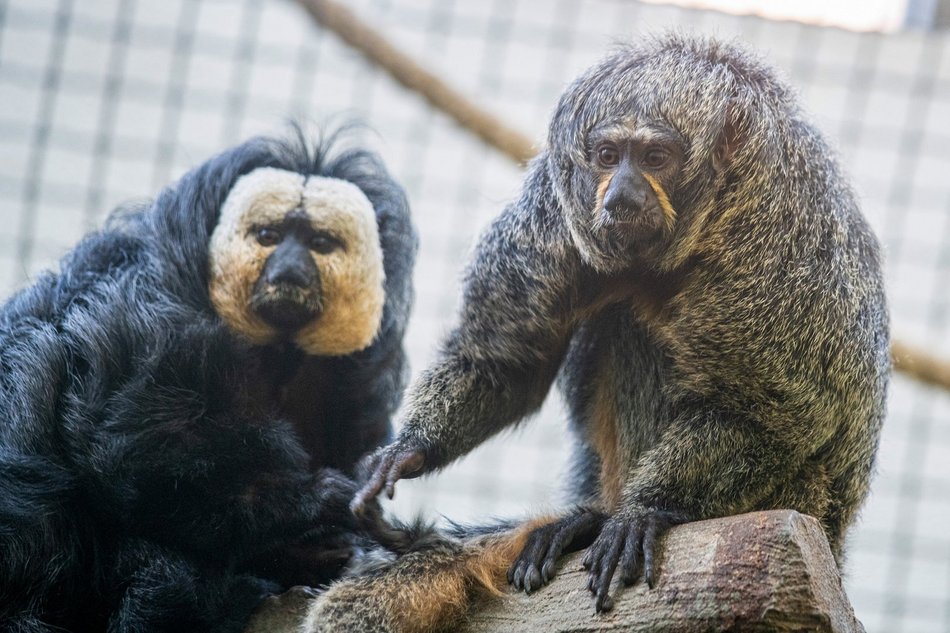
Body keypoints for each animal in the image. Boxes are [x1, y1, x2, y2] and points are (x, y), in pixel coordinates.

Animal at [352, 32, 892, 616]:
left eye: (656, 158)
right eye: (609, 157)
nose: (622, 194)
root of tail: (832, 538)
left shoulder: (775, 232)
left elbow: (771, 415)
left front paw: (647, 508)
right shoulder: (552, 209)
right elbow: (506, 359)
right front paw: (410, 450)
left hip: (801, 496)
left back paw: (599, 519)